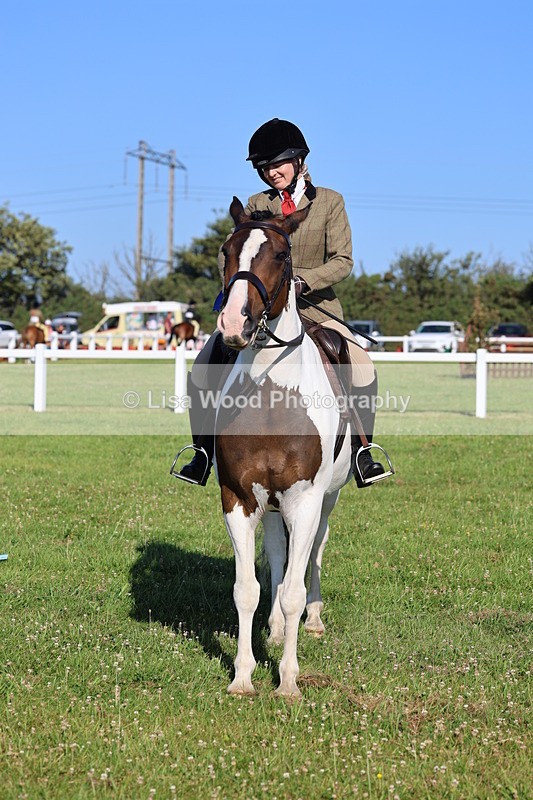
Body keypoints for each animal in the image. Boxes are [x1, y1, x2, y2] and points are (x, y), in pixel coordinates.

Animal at [213, 197, 355, 698]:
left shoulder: (306, 500)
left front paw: (289, 680)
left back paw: (312, 619)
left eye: (280, 255)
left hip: (327, 499)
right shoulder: (238, 498)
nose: (233, 324)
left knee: (312, 554)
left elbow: (293, 588)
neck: (273, 397)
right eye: (226, 251)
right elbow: (246, 589)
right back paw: (274, 629)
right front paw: (242, 676)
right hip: (270, 504)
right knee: (277, 553)